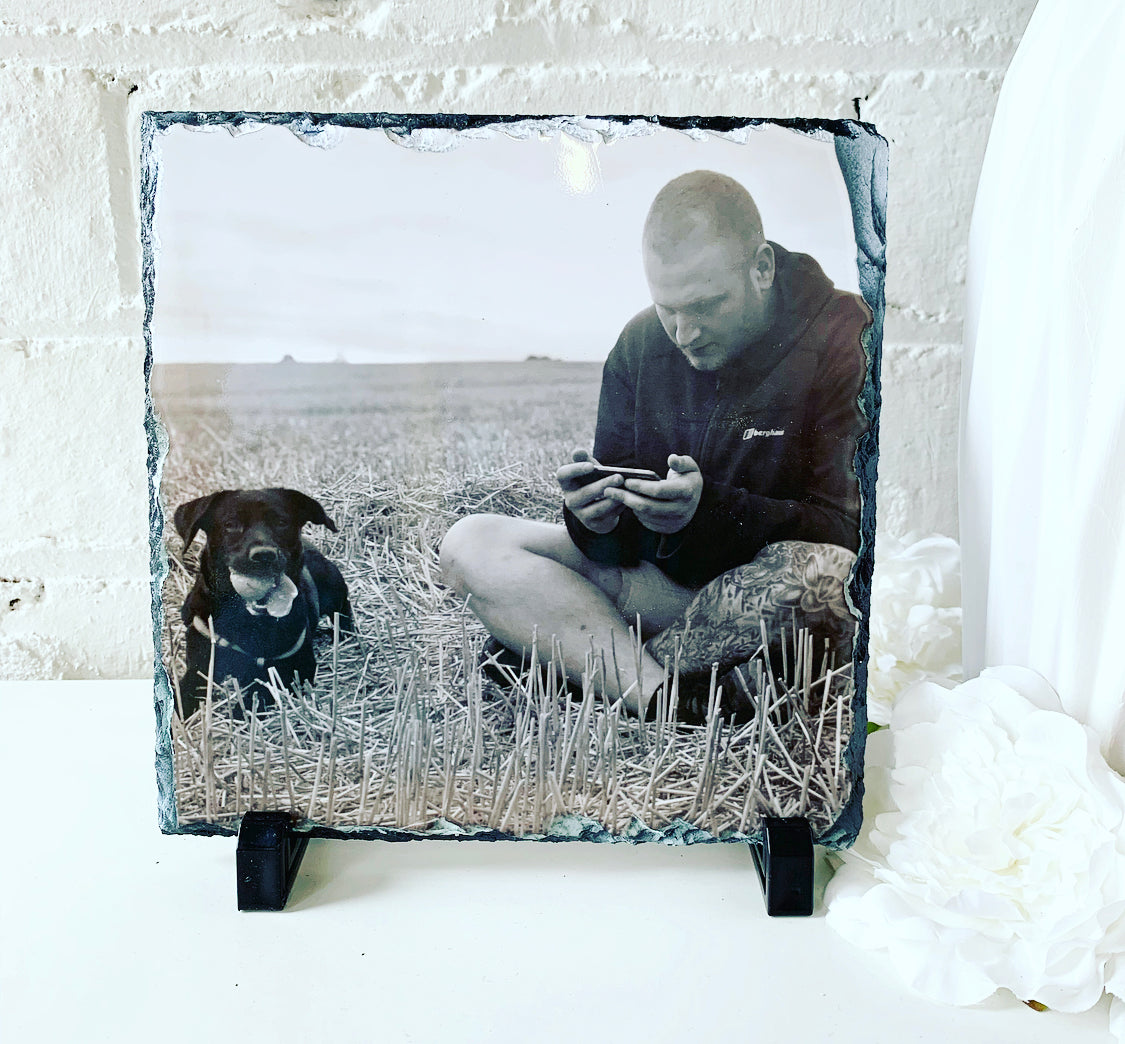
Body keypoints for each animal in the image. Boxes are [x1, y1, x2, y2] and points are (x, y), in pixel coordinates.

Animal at [173, 487, 353, 718]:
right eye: (231, 524)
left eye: (282, 522)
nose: (264, 555)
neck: (245, 621)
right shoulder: (200, 664)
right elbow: (184, 692)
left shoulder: (298, 667)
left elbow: (260, 694)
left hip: (334, 586)